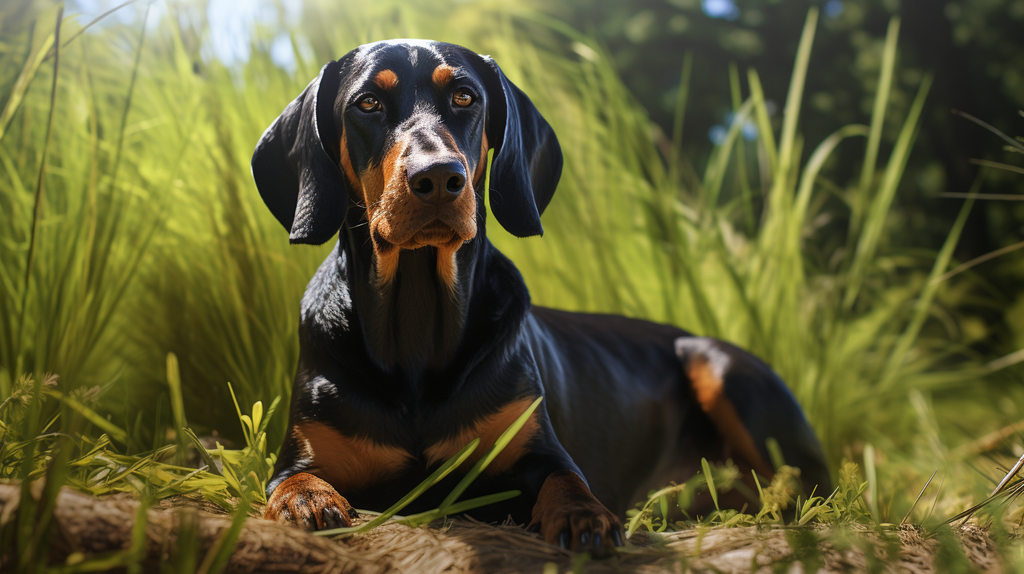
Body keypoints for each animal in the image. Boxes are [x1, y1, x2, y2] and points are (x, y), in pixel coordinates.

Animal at [249, 39, 831, 556]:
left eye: (465, 97)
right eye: (367, 103)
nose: (437, 177)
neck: (417, 334)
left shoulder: (537, 451)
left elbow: (567, 481)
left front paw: (582, 516)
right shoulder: (303, 455)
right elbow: (291, 483)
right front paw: (309, 503)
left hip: (717, 366)